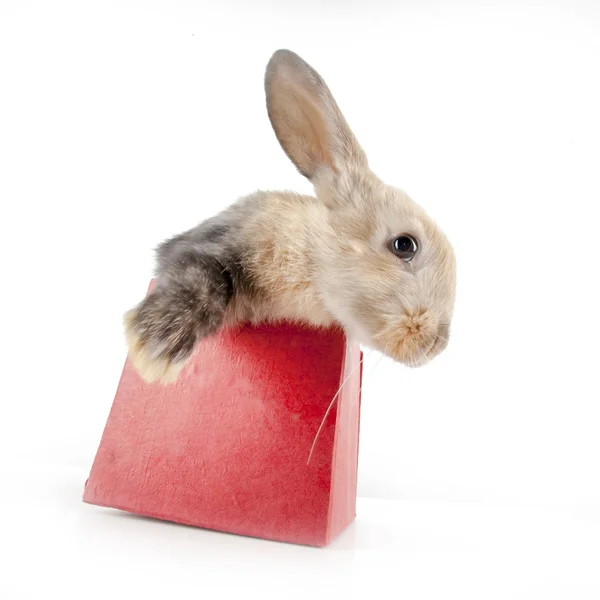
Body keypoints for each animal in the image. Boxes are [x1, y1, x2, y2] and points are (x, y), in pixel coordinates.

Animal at [124, 49, 458, 382]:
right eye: (404, 245)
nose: (437, 345)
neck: (310, 258)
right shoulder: (206, 244)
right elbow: (205, 279)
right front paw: (153, 349)